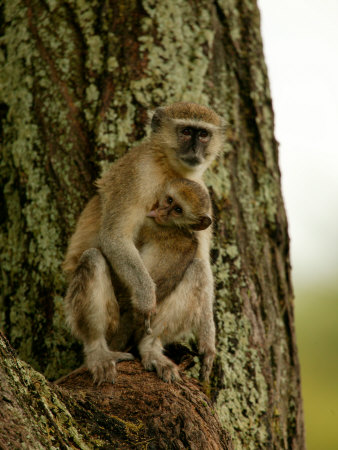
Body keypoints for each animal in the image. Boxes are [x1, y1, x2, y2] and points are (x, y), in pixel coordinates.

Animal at [63, 102, 224, 384]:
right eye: (186, 131)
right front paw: (147, 297)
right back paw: (98, 351)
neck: (168, 166)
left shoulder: (202, 192)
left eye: (203, 134)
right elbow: (115, 236)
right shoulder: (138, 172)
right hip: (117, 316)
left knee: (197, 271)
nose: (195, 150)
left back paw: (150, 349)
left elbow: (202, 260)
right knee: (93, 259)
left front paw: (208, 341)